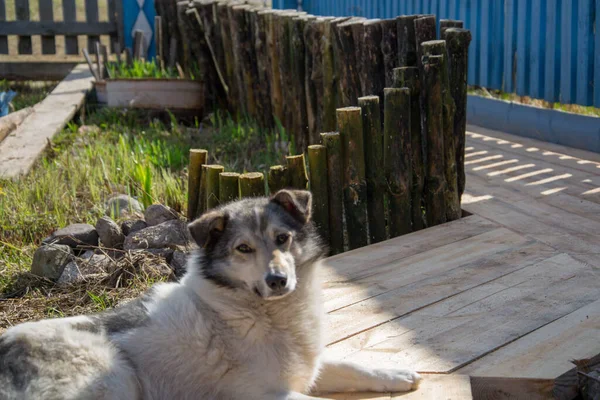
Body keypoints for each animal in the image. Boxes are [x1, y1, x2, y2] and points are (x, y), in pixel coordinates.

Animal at [0, 191, 422, 400]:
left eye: (282, 238)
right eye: (243, 249)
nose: (277, 280)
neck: (258, 312)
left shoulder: (307, 368)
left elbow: (350, 365)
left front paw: (395, 373)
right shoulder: (265, 394)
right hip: (117, 374)